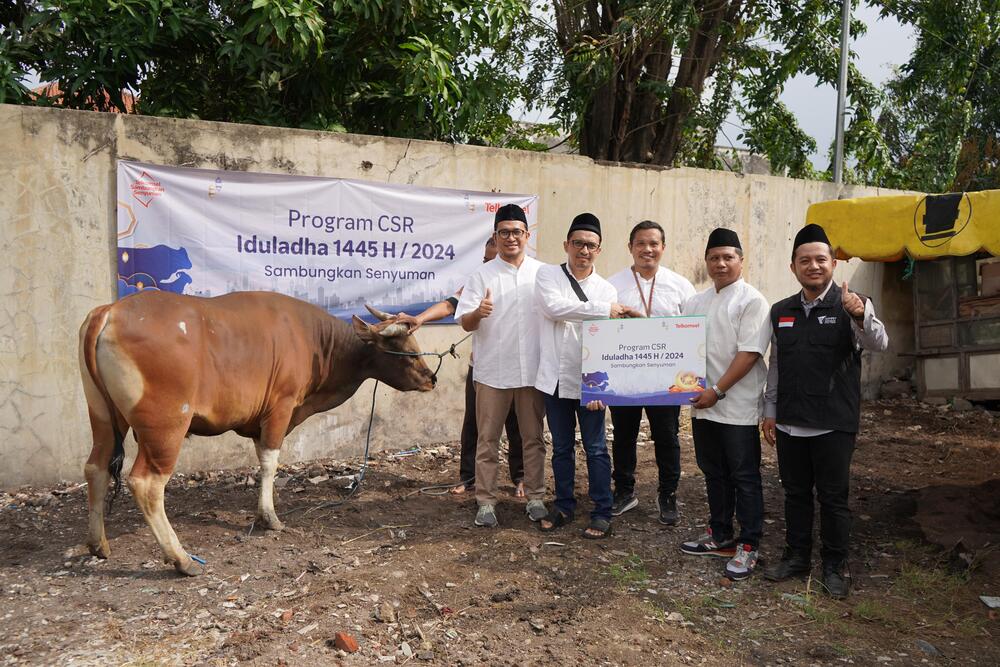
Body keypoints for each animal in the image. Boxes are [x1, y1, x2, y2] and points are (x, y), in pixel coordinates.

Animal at [79, 290, 434, 576]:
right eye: (408, 350)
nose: (432, 378)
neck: (314, 341)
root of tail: (111, 310)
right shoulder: (281, 408)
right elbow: (270, 463)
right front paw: (269, 517)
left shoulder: (257, 423)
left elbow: (260, 459)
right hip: (165, 429)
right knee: (147, 484)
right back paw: (182, 559)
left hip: (103, 418)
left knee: (95, 468)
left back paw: (98, 544)